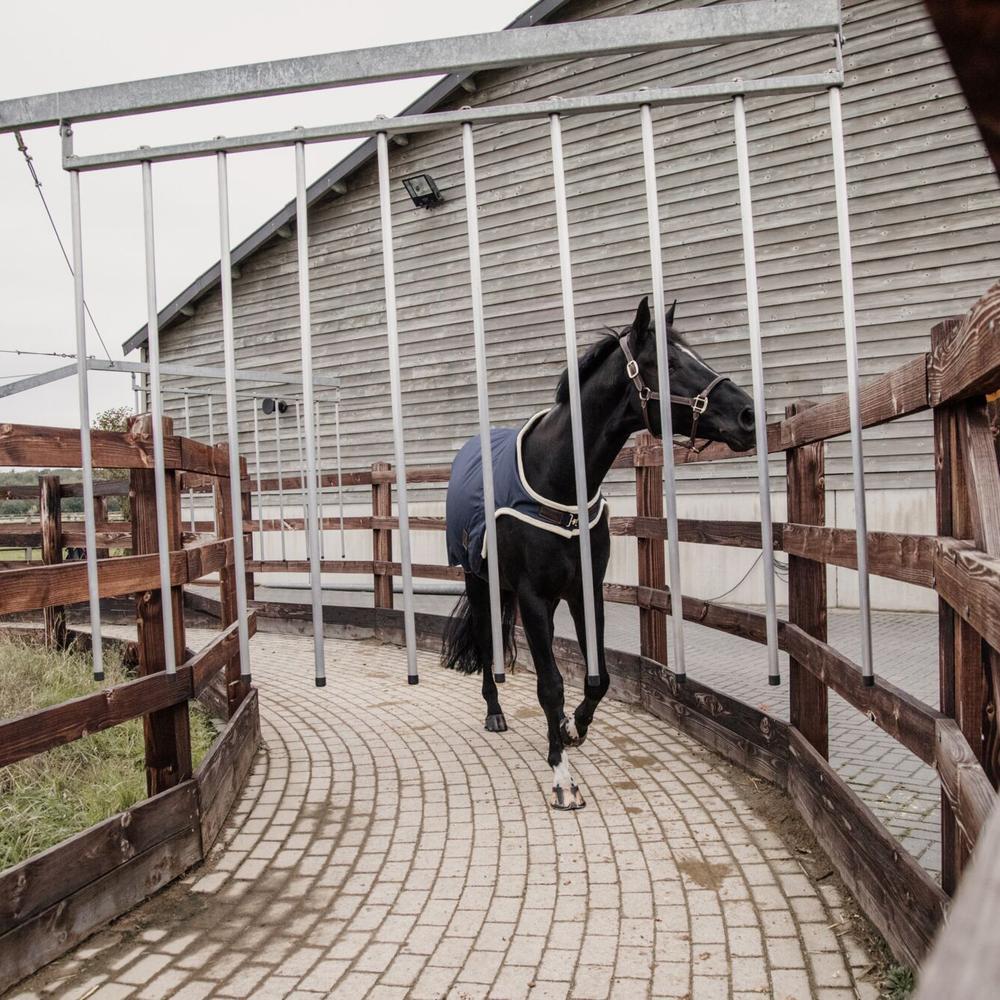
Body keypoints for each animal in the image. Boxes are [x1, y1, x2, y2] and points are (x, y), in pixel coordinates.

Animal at [441, 296, 756, 809]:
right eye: (669, 364)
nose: (748, 415)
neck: (558, 479)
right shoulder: (532, 597)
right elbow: (550, 685)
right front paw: (562, 776)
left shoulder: (584, 592)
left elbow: (598, 677)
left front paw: (573, 729)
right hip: (480, 581)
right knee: (488, 642)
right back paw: (494, 712)